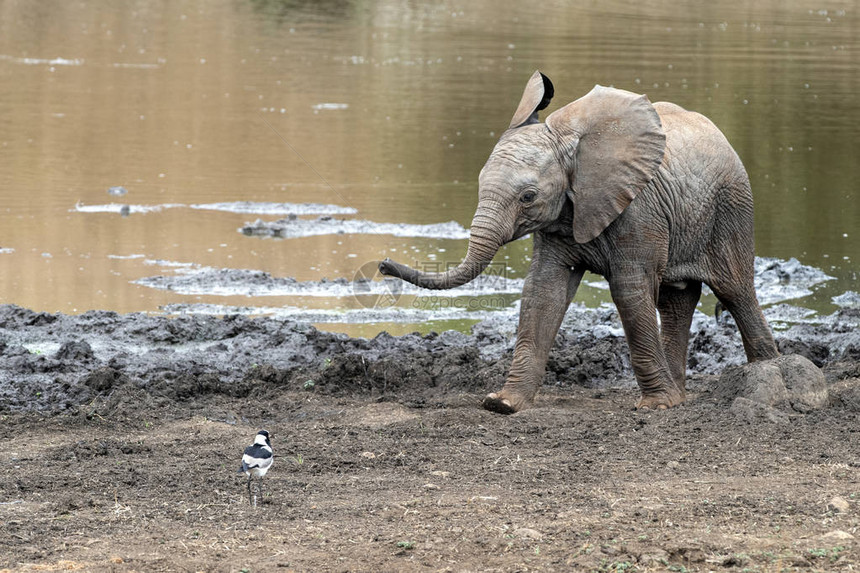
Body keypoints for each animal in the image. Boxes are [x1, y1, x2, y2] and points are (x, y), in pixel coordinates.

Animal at [380, 70, 776, 412]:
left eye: (528, 197)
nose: (383, 265)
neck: (570, 144)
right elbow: (543, 290)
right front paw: (503, 404)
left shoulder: (638, 208)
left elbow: (629, 291)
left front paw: (655, 407)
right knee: (676, 301)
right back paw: (681, 396)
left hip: (732, 209)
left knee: (735, 290)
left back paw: (767, 377)